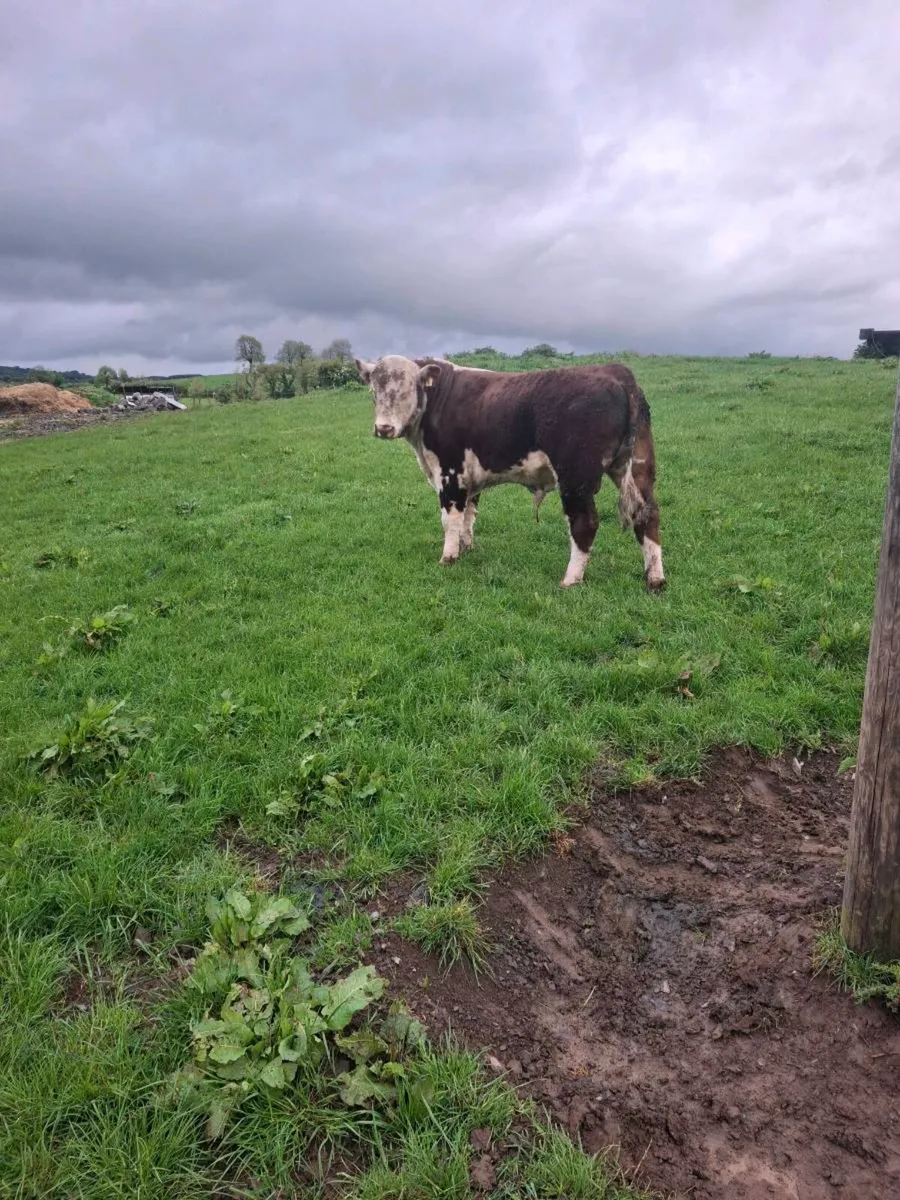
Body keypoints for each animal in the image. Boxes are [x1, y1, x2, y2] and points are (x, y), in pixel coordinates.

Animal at [354, 355, 665, 591]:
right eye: (373, 393)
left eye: (408, 390)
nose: (383, 428)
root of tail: (616, 370)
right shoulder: (469, 477)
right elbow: (469, 516)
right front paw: (466, 548)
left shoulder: (450, 473)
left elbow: (450, 519)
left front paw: (448, 557)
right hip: (637, 466)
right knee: (647, 513)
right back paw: (655, 578)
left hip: (576, 477)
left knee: (585, 522)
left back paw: (570, 580)